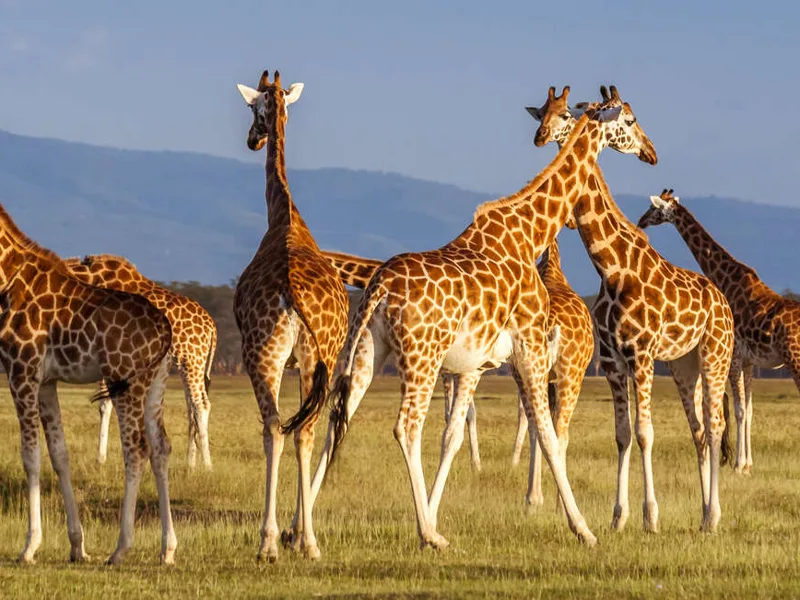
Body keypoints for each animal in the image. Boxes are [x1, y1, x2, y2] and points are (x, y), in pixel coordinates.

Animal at [0, 204, 176, 565]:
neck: (6, 276)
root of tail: (165, 329)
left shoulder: (21, 369)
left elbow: (30, 456)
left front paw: (29, 547)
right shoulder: (46, 381)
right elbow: (59, 455)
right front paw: (77, 546)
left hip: (126, 380)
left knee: (136, 449)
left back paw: (121, 548)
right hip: (156, 384)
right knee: (161, 447)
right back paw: (167, 549)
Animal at [63, 254, 217, 470]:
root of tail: (211, 328)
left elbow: (105, 403)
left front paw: (101, 459)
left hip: (191, 359)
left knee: (200, 404)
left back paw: (207, 466)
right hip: (191, 364)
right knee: (191, 407)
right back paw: (190, 464)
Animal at [299, 85, 658, 551]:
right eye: (629, 120)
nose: (650, 152)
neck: (530, 234)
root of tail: (380, 288)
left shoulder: (474, 363)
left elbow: (453, 437)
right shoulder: (529, 346)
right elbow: (547, 435)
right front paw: (582, 528)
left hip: (366, 351)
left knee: (333, 420)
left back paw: (300, 534)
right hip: (423, 357)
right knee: (405, 428)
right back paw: (429, 535)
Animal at [529, 86, 734, 533]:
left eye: (630, 118)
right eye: (544, 112)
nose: (651, 151)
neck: (612, 267)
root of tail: (724, 302)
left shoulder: (641, 356)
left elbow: (645, 433)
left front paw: (650, 517)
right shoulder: (612, 362)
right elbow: (622, 435)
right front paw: (618, 517)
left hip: (716, 355)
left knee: (715, 424)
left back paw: (713, 516)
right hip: (684, 364)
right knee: (699, 431)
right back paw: (702, 513)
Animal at [637, 188, 800, 474]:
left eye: (654, 207)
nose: (641, 221)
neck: (727, 279)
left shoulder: (734, 356)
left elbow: (738, 410)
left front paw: (738, 465)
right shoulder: (748, 362)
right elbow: (749, 410)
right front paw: (748, 464)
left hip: (794, 358)